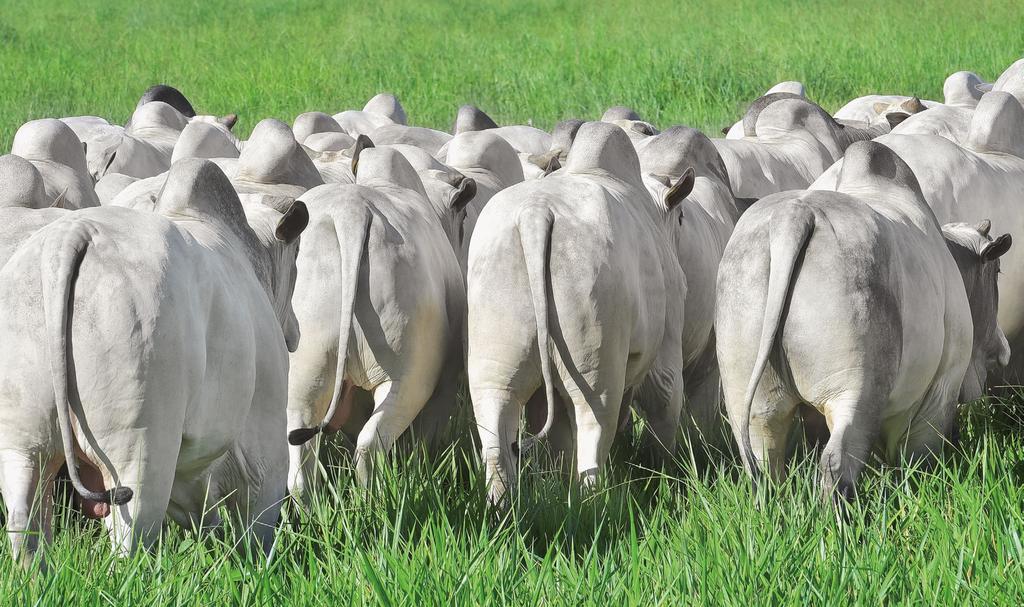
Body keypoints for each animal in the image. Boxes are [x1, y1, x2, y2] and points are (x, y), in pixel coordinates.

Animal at [0, 158, 307, 565]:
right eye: (297, 261)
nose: (295, 332)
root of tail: (71, 236)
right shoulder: (266, 439)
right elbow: (258, 524)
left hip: (22, 443)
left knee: (26, 524)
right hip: (139, 447)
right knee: (129, 537)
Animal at [286, 146, 466, 491]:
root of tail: (352, 214)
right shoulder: (446, 381)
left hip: (304, 372)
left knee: (301, 468)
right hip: (406, 375)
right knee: (371, 444)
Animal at [468, 121, 688, 501]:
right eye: (682, 216)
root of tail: (536, 213)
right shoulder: (667, 344)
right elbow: (664, 400)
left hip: (491, 361)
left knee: (497, 437)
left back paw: (502, 505)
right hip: (596, 366)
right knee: (592, 436)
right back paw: (593, 503)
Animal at [716, 139, 1011, 499]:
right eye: (997, 270)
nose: (1003, 349)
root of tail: (795, 214)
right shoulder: (940, 392)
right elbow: (918, 461)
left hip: (749, 398)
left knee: (762, 461)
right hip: (854, 391)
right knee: (836, 462)